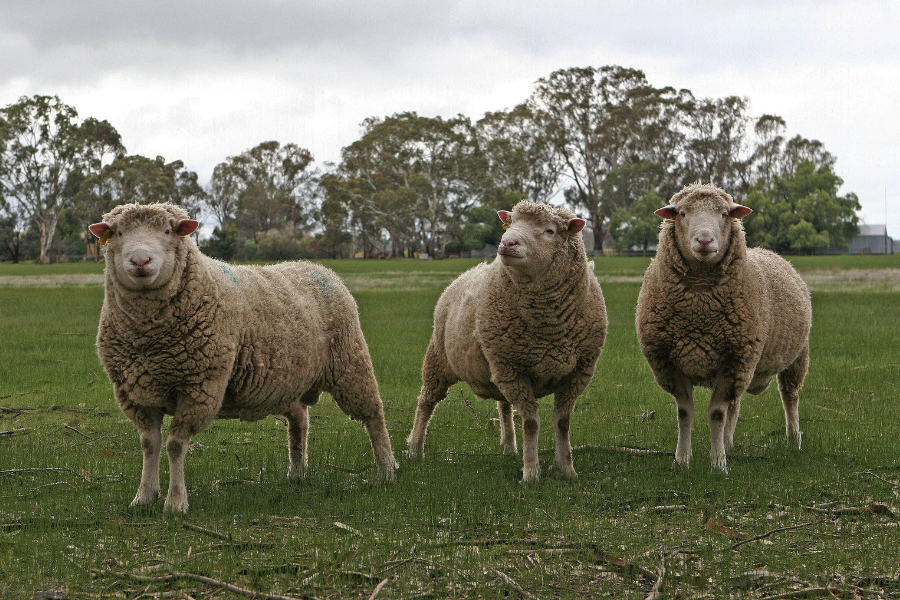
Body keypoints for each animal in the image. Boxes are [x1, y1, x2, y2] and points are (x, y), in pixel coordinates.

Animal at [89, 203, 398, 510]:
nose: (140, 261)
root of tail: (317, 267)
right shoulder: (135, 392)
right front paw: (143, 497)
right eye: (118, 232)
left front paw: (175, 503)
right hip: (291, 381)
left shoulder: (199, 387)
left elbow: (175, 445)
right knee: (300, 420)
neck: (149, 340)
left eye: (167, 231)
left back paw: (386, 469)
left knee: (373, 415)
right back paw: (297, 472)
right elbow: (149, 444)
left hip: (350, 363)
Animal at [410, 200, 608, 482]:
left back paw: (509, 447)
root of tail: (469, 271)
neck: (549, 327)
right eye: (510, 224)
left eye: (549, 231)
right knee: (426, 401)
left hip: (496, 364)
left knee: (503, 405)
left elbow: (562, 423)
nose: (507, 243)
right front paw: (531, 473)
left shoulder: (577, 372)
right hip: (441, 358)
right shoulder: (515, 370)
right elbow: (531, 423)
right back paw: (415, 449)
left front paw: (567, 469)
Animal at [632, 180, 816, 472]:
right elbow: (685, 413)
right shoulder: (672, 363)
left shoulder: (734, 359)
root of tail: (769, 251)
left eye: (724, 214)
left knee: (790, 396)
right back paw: (729, 442)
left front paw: (718, 464)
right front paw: (682, 460)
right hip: (746, 366)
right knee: (736, 405)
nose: (704, 240)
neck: (698, 309)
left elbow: (717, 413)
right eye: (682, 213)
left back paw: (793, 438)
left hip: (795, 356)